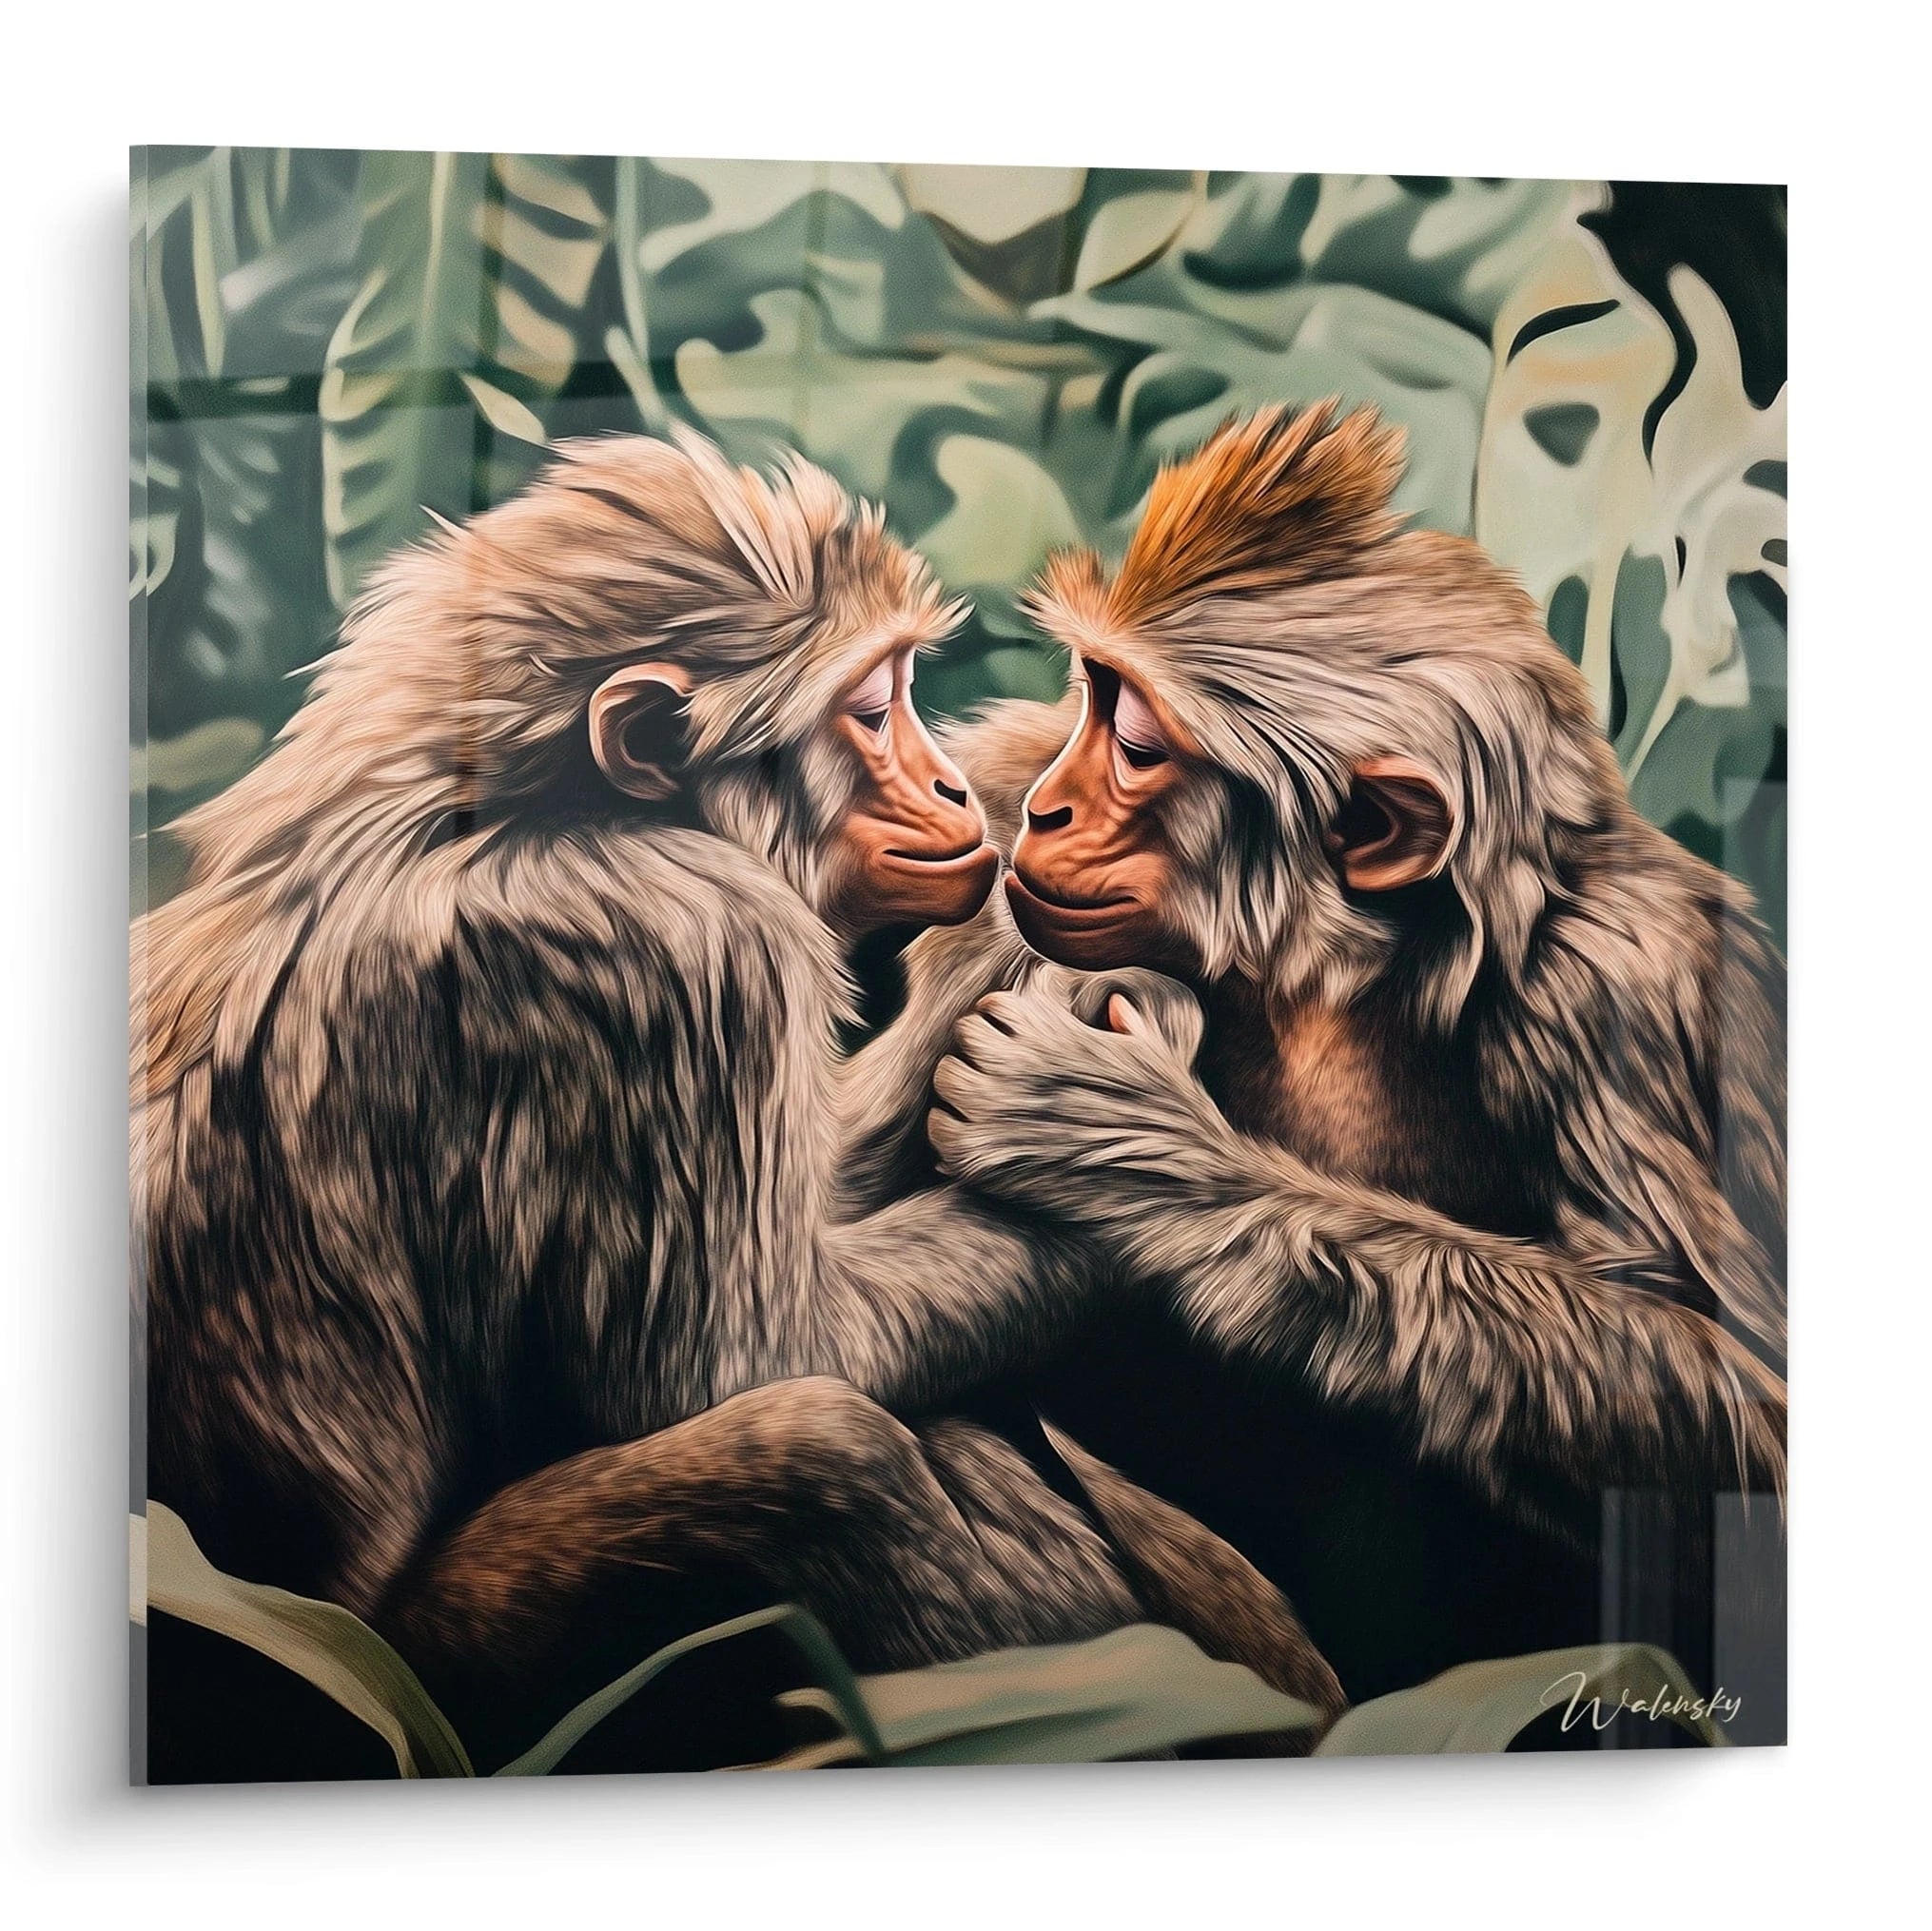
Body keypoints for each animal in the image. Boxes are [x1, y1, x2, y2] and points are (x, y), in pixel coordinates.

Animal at [849, 401, 1785, 1707]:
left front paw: (1114, 1135)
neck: (1336, 961)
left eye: (1136, 745)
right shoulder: (978, 834)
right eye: (1091, 705)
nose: (1043, 810)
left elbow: (1736, 1415)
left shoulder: (1627, 980)